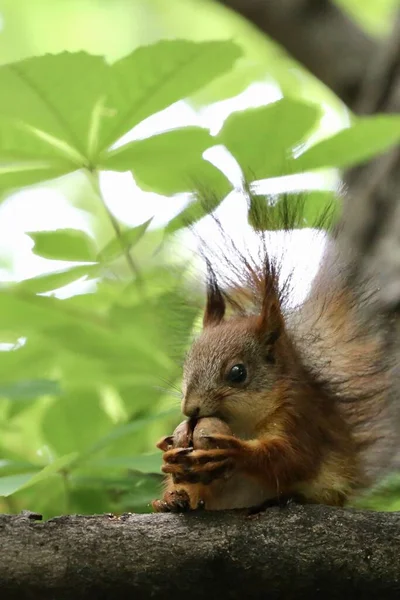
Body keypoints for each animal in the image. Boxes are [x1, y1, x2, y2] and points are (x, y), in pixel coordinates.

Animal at [151, 195, 396, 512]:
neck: (243, 423)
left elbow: (291, 458)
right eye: (186, 364)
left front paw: (236, 453)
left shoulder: (300, 416)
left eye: (238, 373)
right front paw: (169, 454)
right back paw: (173, 501)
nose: (190, 409)